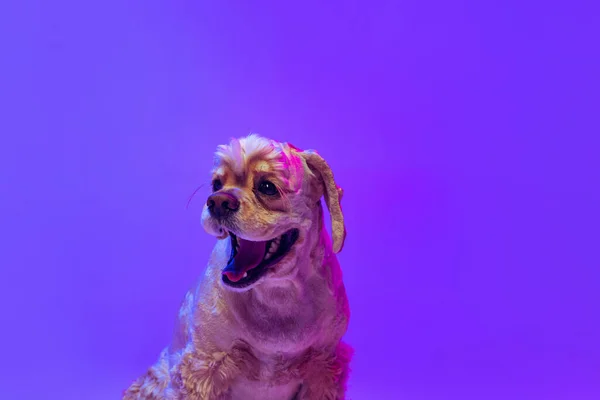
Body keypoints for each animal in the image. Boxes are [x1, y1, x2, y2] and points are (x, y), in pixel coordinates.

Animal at [125, 135, 352, 400]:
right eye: (216, 184)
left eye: (267, 187)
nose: (218, 201)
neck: (276, 291)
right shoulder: (201, 366)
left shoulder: (323, 366)